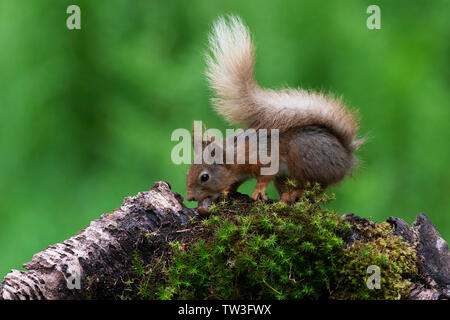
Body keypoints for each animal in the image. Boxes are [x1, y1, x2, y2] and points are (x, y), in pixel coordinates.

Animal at [186, 15, 366, 215]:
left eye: (204, 177)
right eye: (188, 171)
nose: (189, 197)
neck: (235, 155)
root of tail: (347, 156)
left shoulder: (263, 157)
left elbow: (265, 175)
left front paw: (258, 190)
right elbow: (236, 181)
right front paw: (227, 190)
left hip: (304, 160)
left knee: (317, 186)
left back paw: (298, 192)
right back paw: (287, 196)